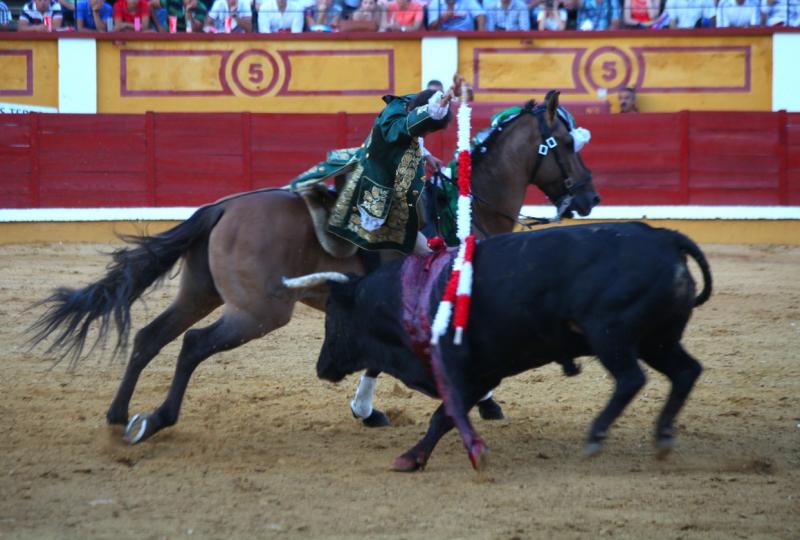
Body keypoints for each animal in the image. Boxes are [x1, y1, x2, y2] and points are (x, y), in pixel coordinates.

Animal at [28, 89, 596, 442]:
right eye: (566, 144)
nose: (589, 198)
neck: (467, 205)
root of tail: (224, 207)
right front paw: (481, 402)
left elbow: (376, 357)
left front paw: (368, 410)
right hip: (259, 311)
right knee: (191, 345)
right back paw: (158, 418)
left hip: (200, 291)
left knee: (151, 336)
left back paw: (118, 415)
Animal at [292, 221, 712, 470]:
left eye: (333, 319)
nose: (321, 367)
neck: (408, 296)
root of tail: (666, 237)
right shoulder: (481, 374)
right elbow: (446, 416)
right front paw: (416, 456)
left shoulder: (458, 370)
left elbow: (443, 414)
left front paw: (417, 456)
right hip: (657, 340)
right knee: (686, 372)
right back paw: (663, 436)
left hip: (612, 336)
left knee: (630, 380)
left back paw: (597, 437)